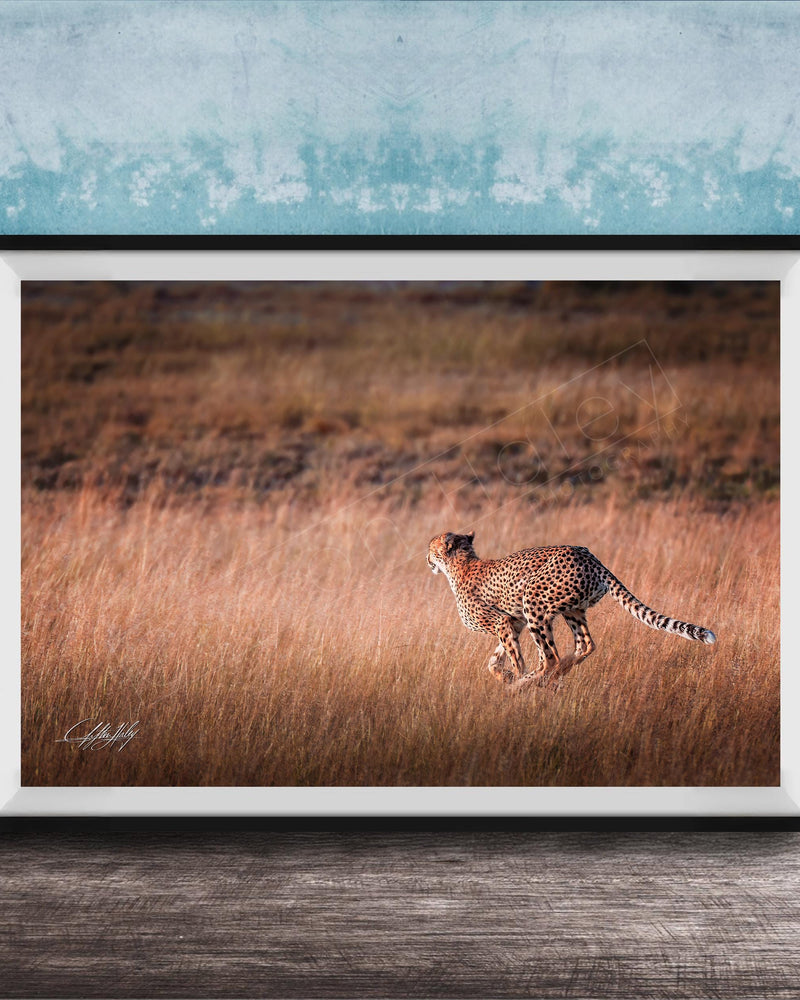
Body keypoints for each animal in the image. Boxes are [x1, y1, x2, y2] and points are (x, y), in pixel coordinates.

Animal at [426, 531, 716, 689]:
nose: (426, 559)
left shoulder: (502, 622)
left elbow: (515, 657)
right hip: (571, 610)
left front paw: (514, 679)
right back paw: (554, 674)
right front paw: (504, 675)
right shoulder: (513, 622)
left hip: (534, 601)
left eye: (431, 548)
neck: (461, 564)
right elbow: (494, 660)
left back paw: (529, 682)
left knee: (549, 657)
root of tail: (589, 556)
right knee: (584, 645)